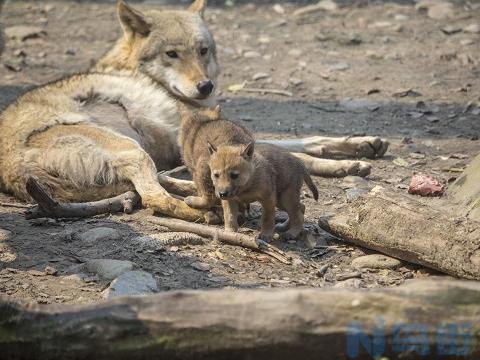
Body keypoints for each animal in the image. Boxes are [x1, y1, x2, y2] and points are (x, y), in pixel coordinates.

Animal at [0, 0, 388, 221]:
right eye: (172, 54)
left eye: (203, 50)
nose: (205, 87)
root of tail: (13, 172)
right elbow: (290, 152)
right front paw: (344, 162)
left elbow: (302, 142)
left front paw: (359, 148)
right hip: (133, 150)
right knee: (155, 197)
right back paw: (201, 211)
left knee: (160, 185)